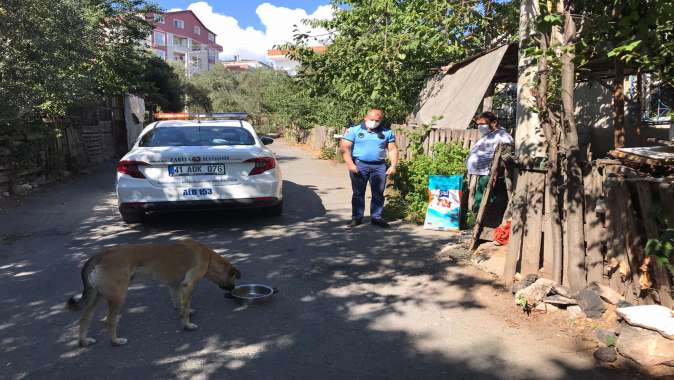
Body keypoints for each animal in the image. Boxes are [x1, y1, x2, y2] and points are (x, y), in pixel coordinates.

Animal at [63, 240, 242, 348]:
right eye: (234, 280)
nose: (232, 289)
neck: (209, 257)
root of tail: (103, 253)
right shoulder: (188, 285)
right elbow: (185, 306)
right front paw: (187, 324)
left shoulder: (174, 286)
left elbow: (179, 303)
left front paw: (184, 313)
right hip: (118, 297)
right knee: (110, 321)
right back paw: (116, 341)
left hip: (96, 297)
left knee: (84, 319)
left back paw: (84, 341)